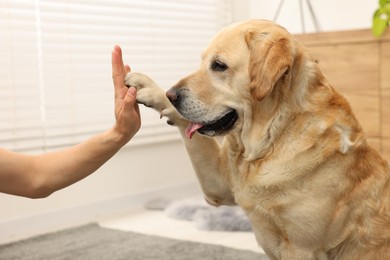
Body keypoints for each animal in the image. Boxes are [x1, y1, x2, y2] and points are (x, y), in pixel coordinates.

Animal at [125, 19, 390, 258]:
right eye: (202, 62)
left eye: (219, 66)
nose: (172, 94)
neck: (270, 140)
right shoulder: (219, 185)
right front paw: (149, 88)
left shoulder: (302, 248)